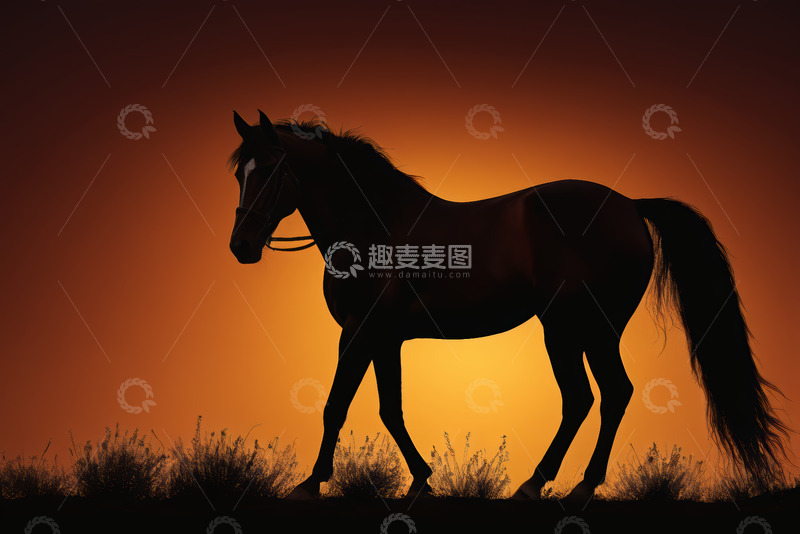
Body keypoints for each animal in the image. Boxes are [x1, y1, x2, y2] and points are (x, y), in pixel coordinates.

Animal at [227, 110, 789, 501]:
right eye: (240, 172)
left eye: (273, 168)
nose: (242, 246)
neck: (374, 224)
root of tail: (629, 206)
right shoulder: (383, 338)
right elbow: (390, 408)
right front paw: (421, 478)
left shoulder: (360, 331)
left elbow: (335, 404)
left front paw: (309, 483)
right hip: (579, 329)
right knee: (599, 396)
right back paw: (555, 482)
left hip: (576, 328)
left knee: (598, 395)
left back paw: (556, 484)